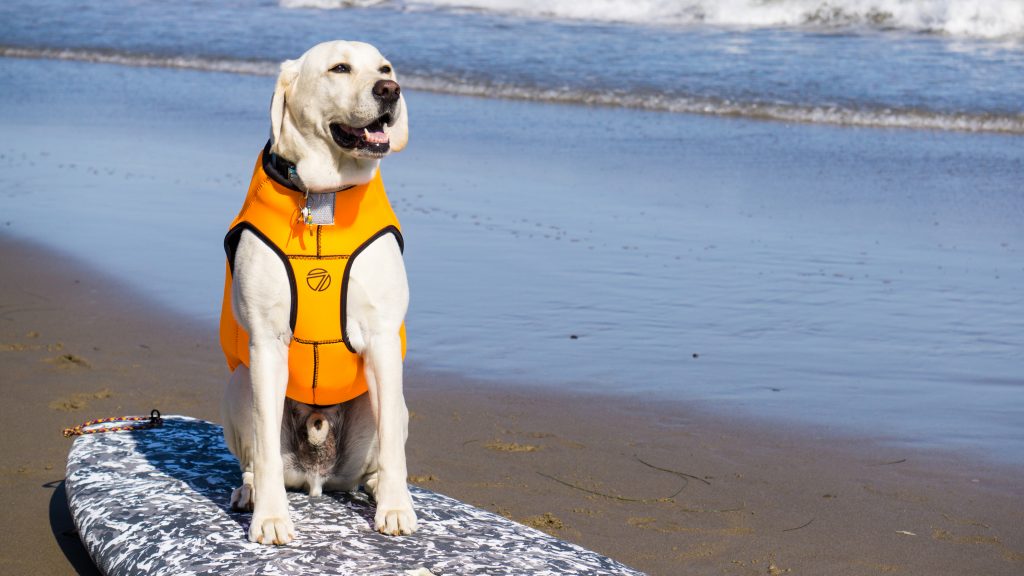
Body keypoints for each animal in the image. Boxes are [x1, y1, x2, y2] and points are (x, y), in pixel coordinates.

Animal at [220, 40, 415, 541]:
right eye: (339, 68)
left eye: (385, 68)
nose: (390, 90)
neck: (324, 196)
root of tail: (317, 474)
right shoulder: (266, 343)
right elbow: (265, 449)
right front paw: (271, 517)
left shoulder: (383, 339)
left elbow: (393, 446)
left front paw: (396, 508)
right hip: (239, 385)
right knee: (254, 459)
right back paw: (251, 492)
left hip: (390, 403)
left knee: (381, 453)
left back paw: (381, 489)